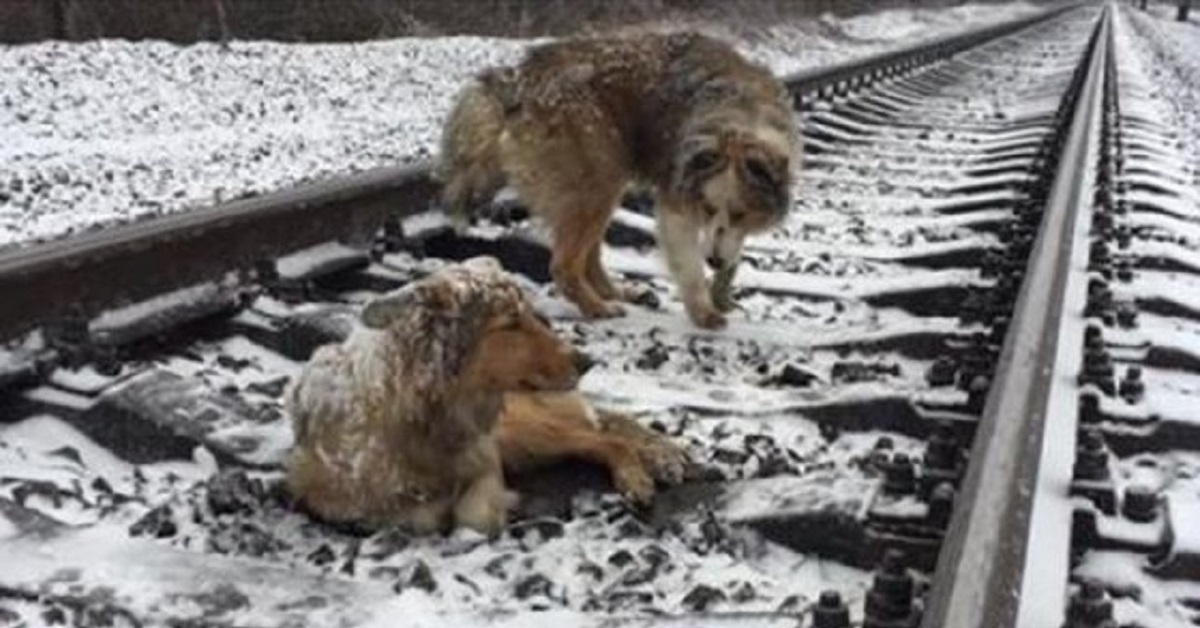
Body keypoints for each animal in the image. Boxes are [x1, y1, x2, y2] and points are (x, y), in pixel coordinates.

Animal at [284, 256, 691, 535]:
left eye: (532, 314)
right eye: (510, 323)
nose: (588, 361)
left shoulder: (488, 458)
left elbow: (473, 515)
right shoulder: (330, 497)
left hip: (524, 430)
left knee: (605, 436)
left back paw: (641, 474)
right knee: (603, 430)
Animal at [441, 32, 796, 331]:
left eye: (741, 214)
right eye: (706, 209)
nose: (714, 260)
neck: (740, 118)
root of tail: (517, 81)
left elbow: (732, 248)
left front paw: (721, 288)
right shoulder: (676, 203)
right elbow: (690, 267)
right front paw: (703, 310)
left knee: (589, 256)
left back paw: (617, 293)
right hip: (598, 180)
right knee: (565, 264)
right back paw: (597, 307)